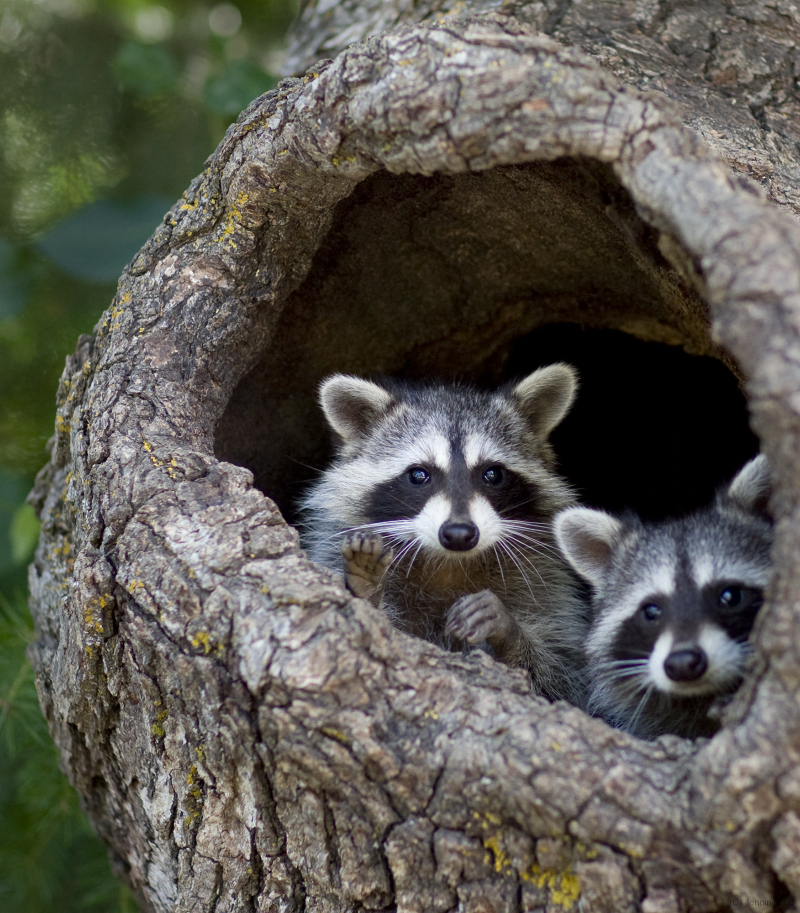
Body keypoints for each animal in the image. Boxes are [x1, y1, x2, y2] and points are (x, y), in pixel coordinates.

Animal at [301, 365, 589, 704]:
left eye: (492, 474)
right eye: (418, 474)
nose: (459, 533)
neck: (450, 563)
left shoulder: (548, 588)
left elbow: (563, 679)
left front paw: (508, 631)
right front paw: (368, 592)